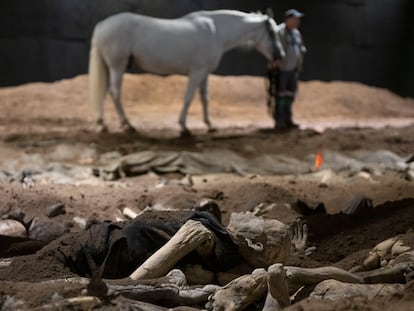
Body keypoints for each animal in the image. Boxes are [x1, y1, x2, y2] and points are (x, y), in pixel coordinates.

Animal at [89, 9, 284, 133]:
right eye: (273, 33)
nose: (281, 55)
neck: (215, 31)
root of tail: (102, 24)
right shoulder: (197, 72)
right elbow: (189, 97)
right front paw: (183, 126)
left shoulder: (205, 73)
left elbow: (205, 98)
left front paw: (209, 125)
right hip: (117, 67)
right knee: (115, 92)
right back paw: (127, 124)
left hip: (110, 68)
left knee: (104, 91)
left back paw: (102, 123)